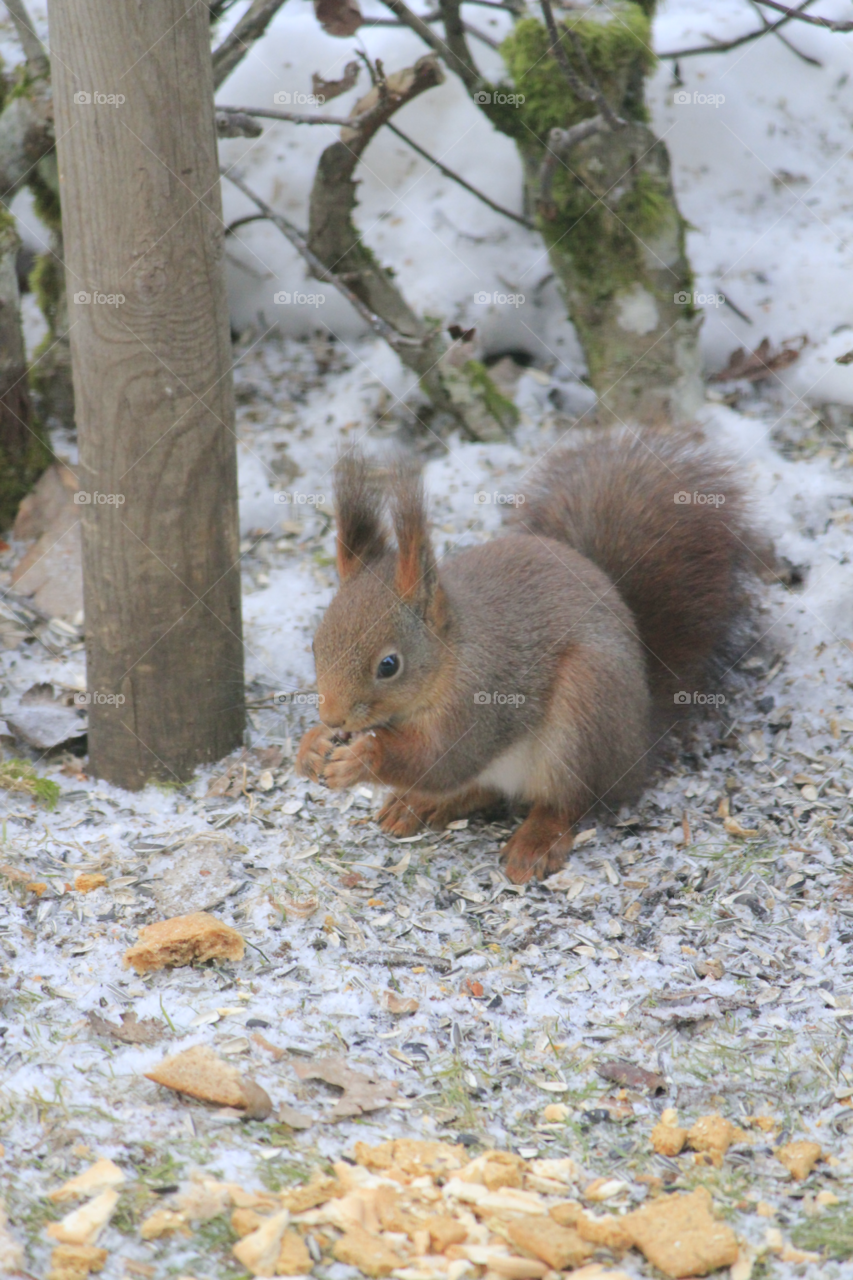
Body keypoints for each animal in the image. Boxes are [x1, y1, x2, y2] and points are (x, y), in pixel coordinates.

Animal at [294, 430, 763, 880]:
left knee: (569, 800)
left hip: (583, 710)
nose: (332, 718)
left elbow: (442, 759)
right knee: (484, 789)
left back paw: (535, 841)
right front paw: (312, 746)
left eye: (389, 666)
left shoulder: (479, 702)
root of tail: (638, 743)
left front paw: (363, 758)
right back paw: (417, 805)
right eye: (315, 645)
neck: (450, 658)